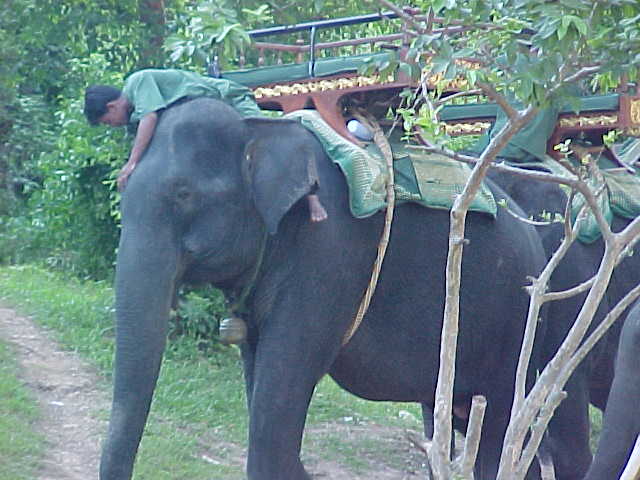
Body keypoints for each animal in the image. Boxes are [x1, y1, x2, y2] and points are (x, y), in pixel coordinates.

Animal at [101, 97, 552, 480]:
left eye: (183, 194)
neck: (259, 130)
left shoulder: (328, 255)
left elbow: (273, 413)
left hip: (515, 322)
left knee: (502, 425)